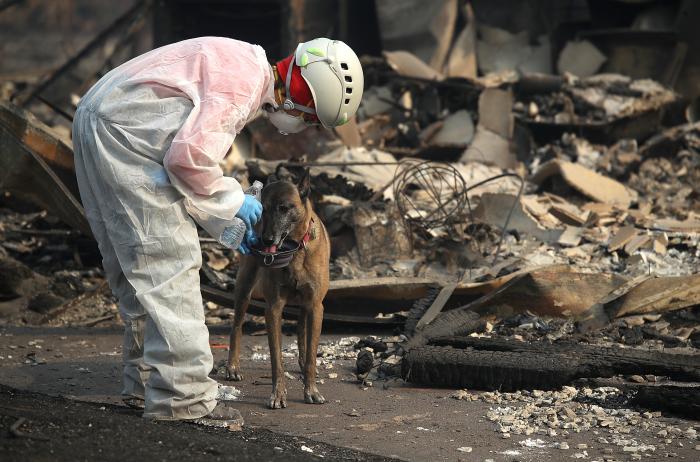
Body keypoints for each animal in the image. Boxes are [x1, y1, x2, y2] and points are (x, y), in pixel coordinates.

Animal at [227, 169, 330, 408]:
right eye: (263, 209)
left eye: (284, 208)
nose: (266, 240)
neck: (295, 250)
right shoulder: (273, 308)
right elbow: (276, 359)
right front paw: (278, 394)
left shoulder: (315, 307)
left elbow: (311, 355)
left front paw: (311, 390)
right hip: (244, 286)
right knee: (236, 326)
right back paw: (233, 367)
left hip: (305, 306)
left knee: (302, 331)